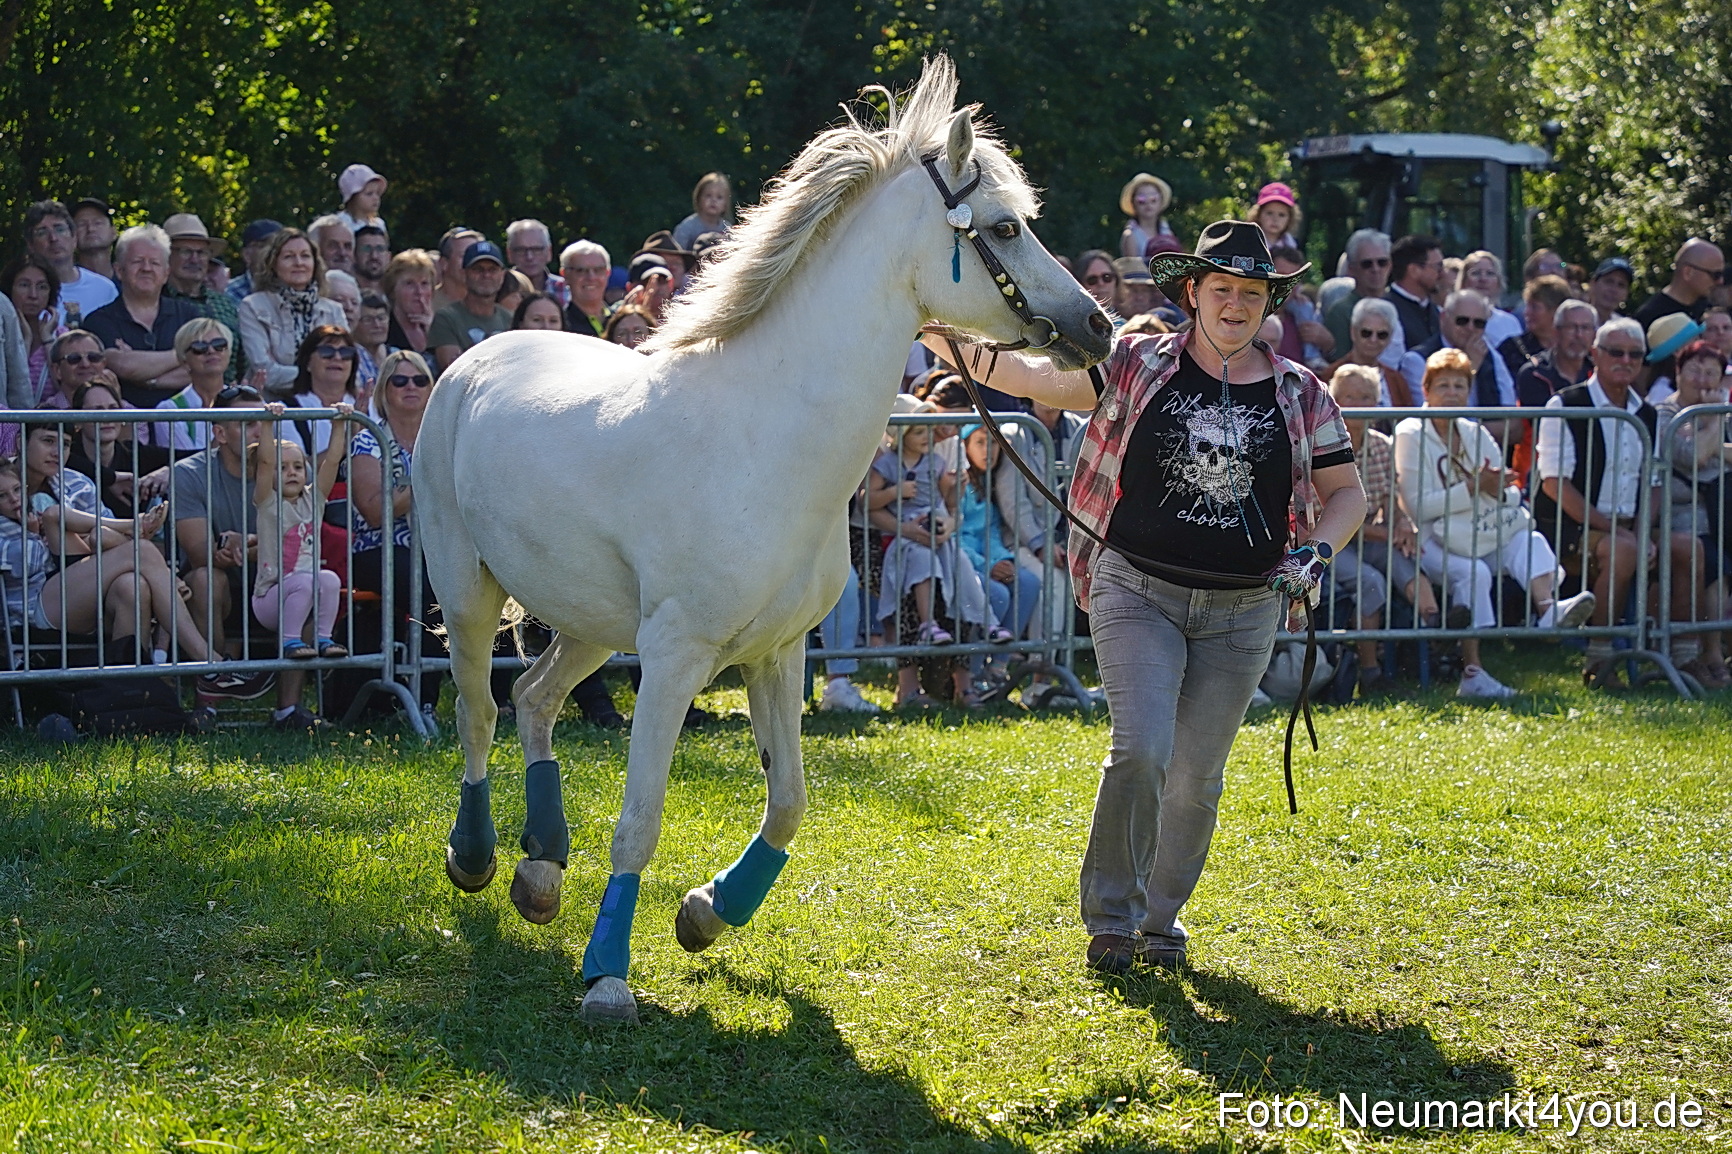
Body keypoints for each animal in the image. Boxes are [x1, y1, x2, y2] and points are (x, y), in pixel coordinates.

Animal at [413, 54, 1113, 1024]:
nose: (1098, 328)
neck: (767, 441)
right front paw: (607, 976)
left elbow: (788, 806)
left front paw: (707, 913)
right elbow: (639, 819)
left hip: (591, 623)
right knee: (480, 709)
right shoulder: (675, 658)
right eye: (1006, 226)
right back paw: (478, 857)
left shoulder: (775, 654)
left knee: (535, 700)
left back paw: (541, 868)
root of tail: (475, 359)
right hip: (468, 586)